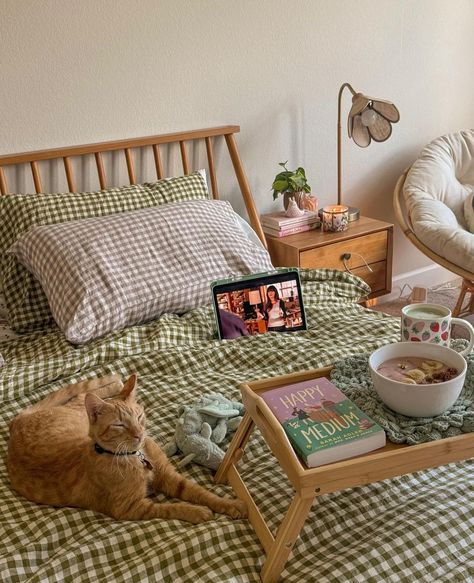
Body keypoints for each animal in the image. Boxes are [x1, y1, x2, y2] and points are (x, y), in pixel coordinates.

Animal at [7, 374, 246, 524]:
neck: (136, 457)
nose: (139, 434)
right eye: (120, 425)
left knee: (80, 394)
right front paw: (196, 512)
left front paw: (231, 505)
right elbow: (171, 508)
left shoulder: (170, 477)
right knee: (80, 394)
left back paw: (115, 382)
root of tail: (16, 422)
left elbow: (203, 493)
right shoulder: (132, 508)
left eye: (139, 417)